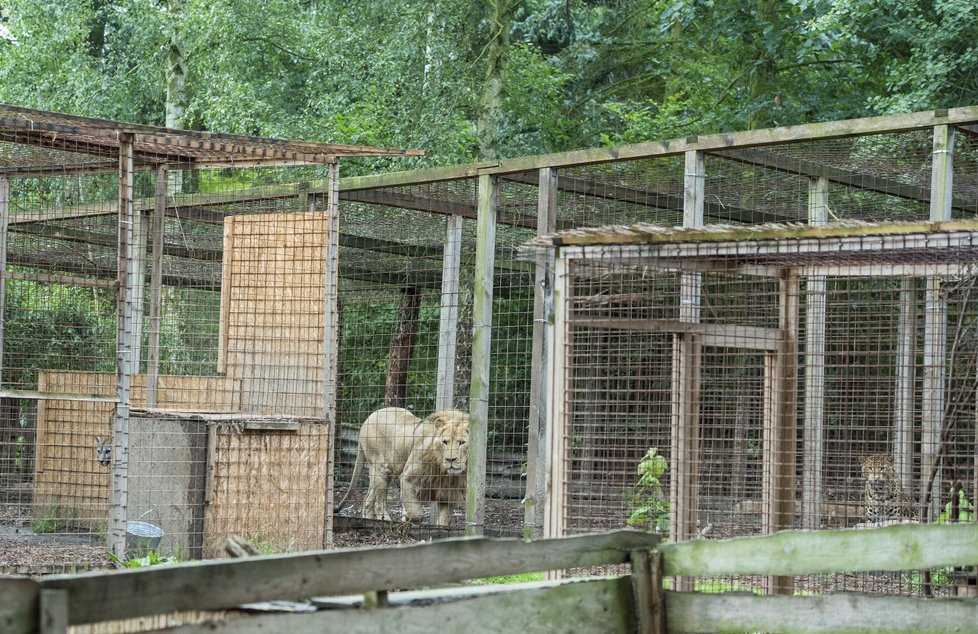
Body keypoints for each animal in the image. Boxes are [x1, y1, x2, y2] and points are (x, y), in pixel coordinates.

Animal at [336, 404, 468, 524]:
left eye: (462, 442)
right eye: (445, 442)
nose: (450, 459)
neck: (444, 471)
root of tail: (366, 421)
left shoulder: (449, 490)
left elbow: (443, 520)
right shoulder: (407, 477)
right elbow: (416, 513)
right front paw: (406, 517)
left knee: (368, 500)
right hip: (381, 467)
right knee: (379, 503)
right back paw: (386, 521)